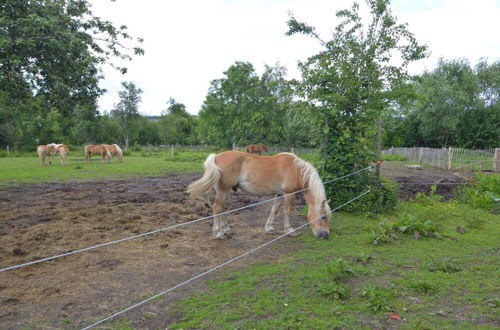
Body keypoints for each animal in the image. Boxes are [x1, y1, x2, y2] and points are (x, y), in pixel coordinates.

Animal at [186, 150, 330, 240]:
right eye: (323, 217)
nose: (325, 235)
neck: (296, 170)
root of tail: (216, 157)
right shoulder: (289, 194)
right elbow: (287, 211)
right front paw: (290, 231)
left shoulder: (279, 194)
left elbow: (275, 210)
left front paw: (270, 228)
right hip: (223, 190)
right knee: (217, 208)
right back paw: (219, 233)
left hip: (225, 191)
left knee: (223, 208)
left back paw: (226, 229)